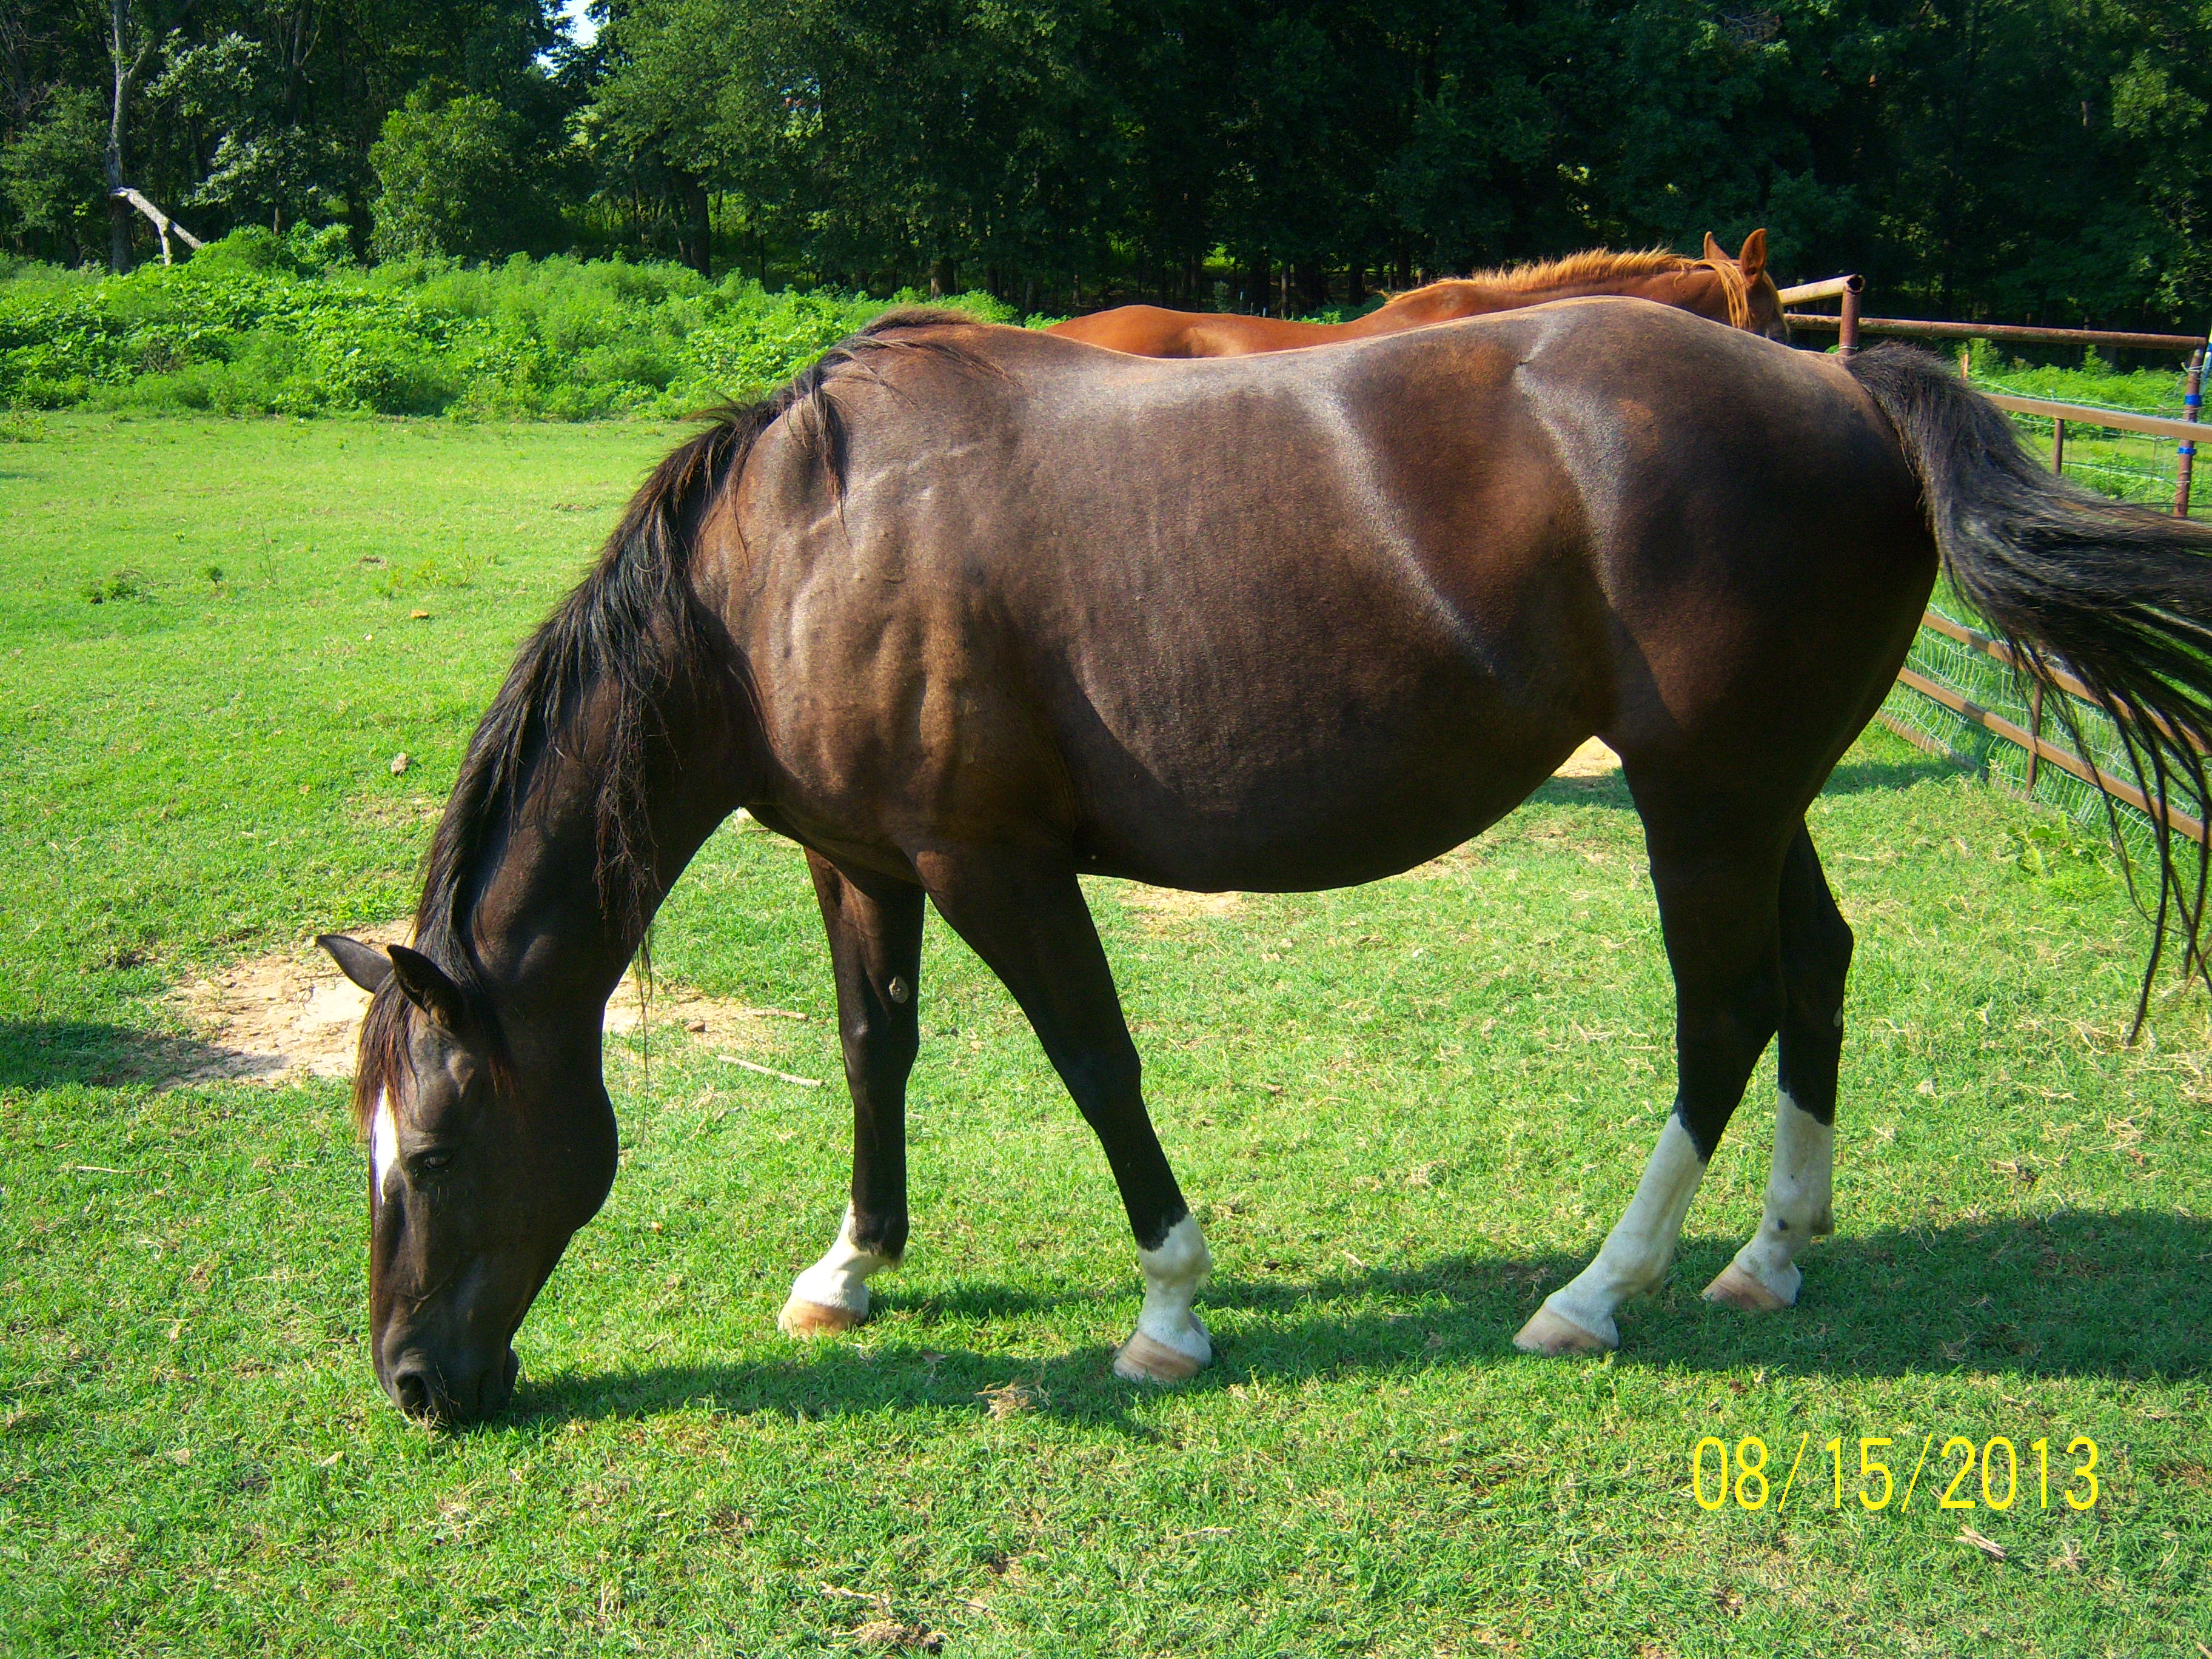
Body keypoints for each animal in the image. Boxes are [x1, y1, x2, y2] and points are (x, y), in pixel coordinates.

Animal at [320, 298, 2212, 1433]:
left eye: (434, 1147)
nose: (414, 1382)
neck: (789, 552)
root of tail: (1838, 382)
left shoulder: (995, 864)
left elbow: (1096, 1064)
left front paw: (1170, 1305)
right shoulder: (863, 864)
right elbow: (875, 1050)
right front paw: (850, 1267)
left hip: (1699, 806)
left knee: (1724, 1011)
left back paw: (1601, 1291)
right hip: (1756, 799)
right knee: (1812, 969)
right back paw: (1775, 1250)